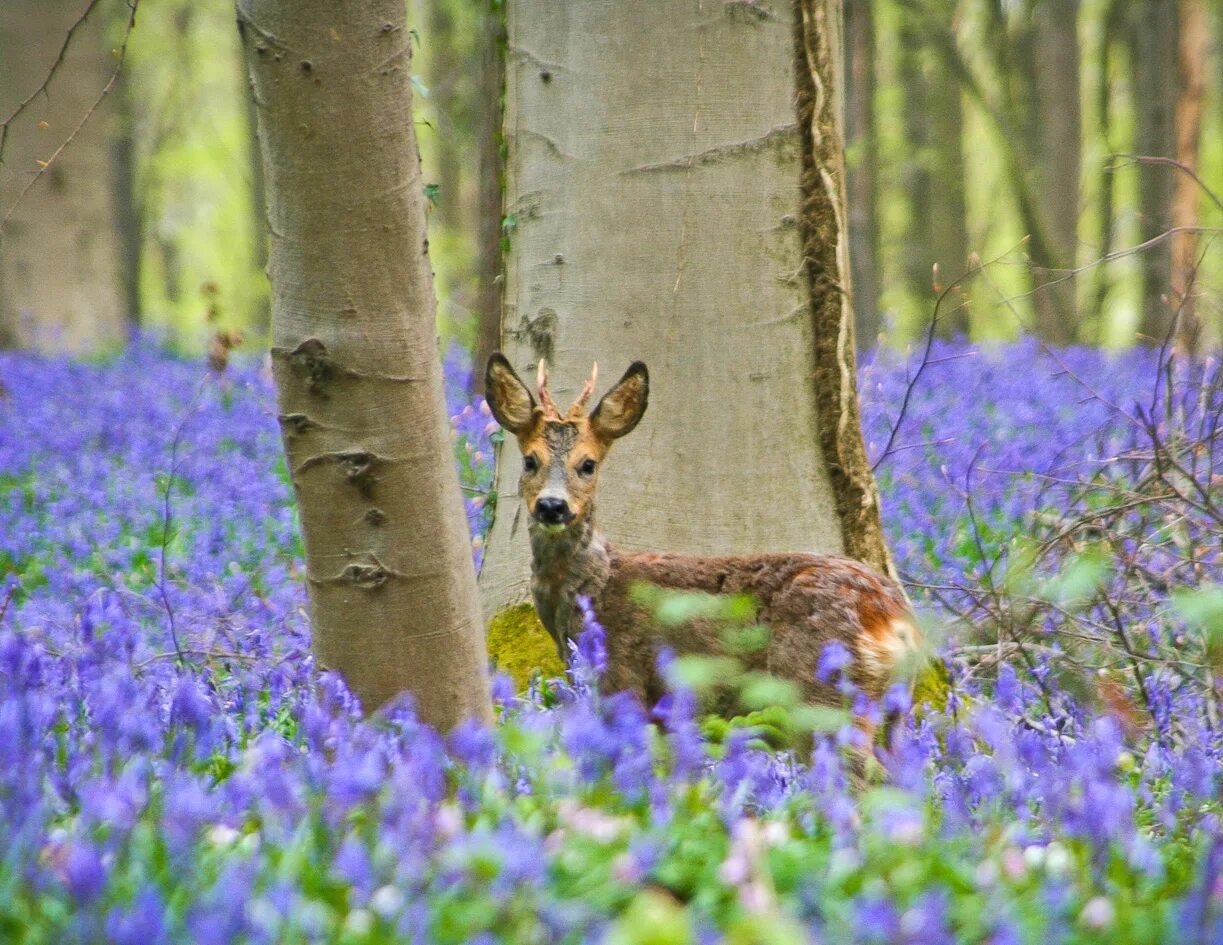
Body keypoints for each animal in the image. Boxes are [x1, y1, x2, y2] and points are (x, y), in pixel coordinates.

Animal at [484, 354, 919, 713]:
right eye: (529, 460)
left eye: (587, 464)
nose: (552, 506)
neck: (593, 586)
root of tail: (896, 618)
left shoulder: (622, 676)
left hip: (819, 684)